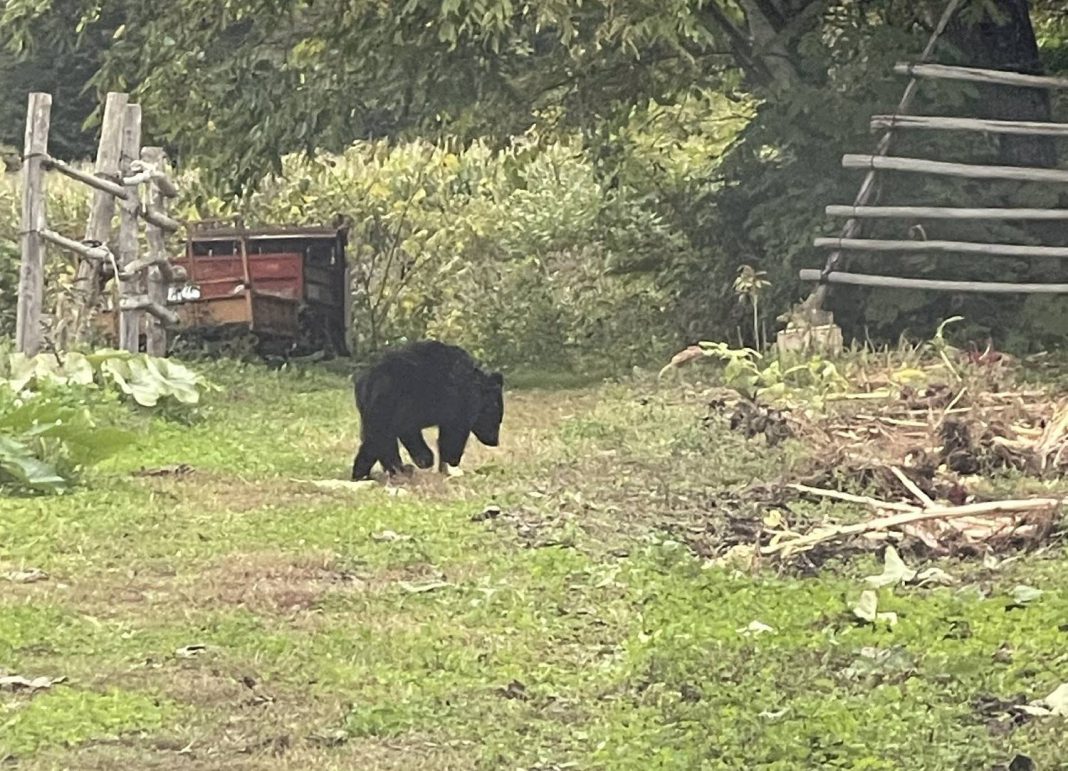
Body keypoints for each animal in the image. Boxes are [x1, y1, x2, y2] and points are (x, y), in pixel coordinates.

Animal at [351, 340, 504, 480]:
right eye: (497, 419)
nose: (494, 441)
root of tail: (367, 380)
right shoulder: (457, 404)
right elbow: (453, 434)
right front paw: (445, 462)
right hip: (391, 400)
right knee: (381, 436)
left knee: (378, 437)